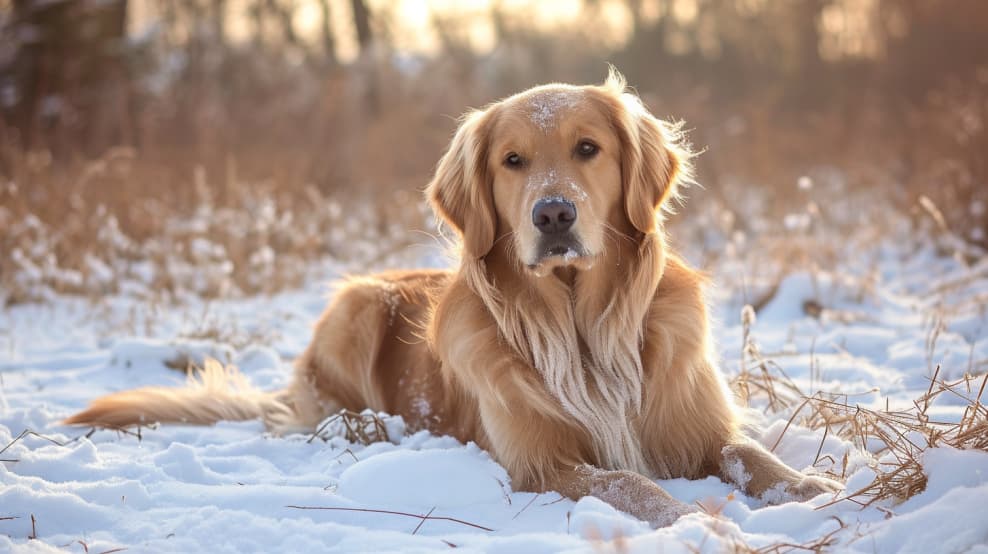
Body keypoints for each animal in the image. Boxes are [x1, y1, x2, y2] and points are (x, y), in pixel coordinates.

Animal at [65, 71, 840, 524]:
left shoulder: (697, 428)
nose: (553, 214)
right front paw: (696, 519)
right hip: (357, 309)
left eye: (588, 148)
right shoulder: (542, 463)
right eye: (512, 161)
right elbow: (631, 484)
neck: (582, 326)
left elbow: (754, 457)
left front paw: (816, 494)